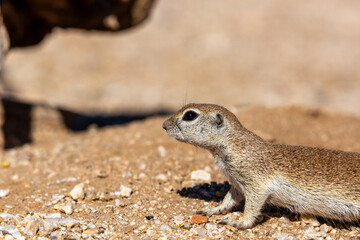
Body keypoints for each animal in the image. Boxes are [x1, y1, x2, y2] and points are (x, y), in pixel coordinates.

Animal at [162, 102, 360, 229]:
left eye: (190, 115)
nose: (164, 125)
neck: (232, 144)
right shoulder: (237, 183)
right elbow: (230, 199)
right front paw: (213, 209)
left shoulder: (256, 180)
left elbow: (253, 204)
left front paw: (240, 222)